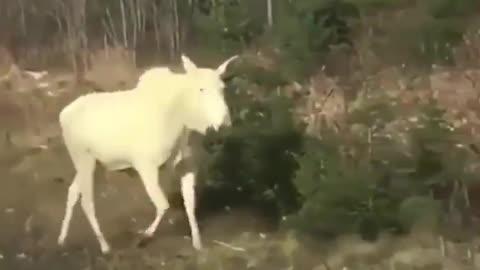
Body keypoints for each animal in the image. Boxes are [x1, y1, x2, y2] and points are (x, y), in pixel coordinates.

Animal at [57, 54, 237, 253]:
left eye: (222, 88)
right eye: (201, 89)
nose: (224, 123)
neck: (182, 124)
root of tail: (62, 115)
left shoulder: (187, 167)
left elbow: (190, 204)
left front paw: (197, 243)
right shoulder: (145, 166)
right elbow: (163, 205)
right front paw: (144, 236)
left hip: (94, 163)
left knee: (73, 192)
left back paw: (62, 239)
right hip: (84, 159)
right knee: (86, 201)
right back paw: (104, 245)